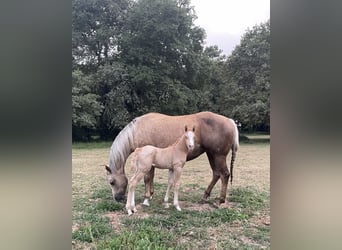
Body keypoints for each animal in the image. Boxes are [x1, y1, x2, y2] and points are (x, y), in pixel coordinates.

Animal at [105, 111, 239, 205]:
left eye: (112, 182)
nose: (117, 198)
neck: (135, 131)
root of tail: (230, 121)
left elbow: (147, 179)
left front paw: (146, 198)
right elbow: (151, 178)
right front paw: (151, 195)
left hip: (218, 156)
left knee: (225, 174)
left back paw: (220, 200)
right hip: (211, 154)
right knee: (216, 174)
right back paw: (205, 196)